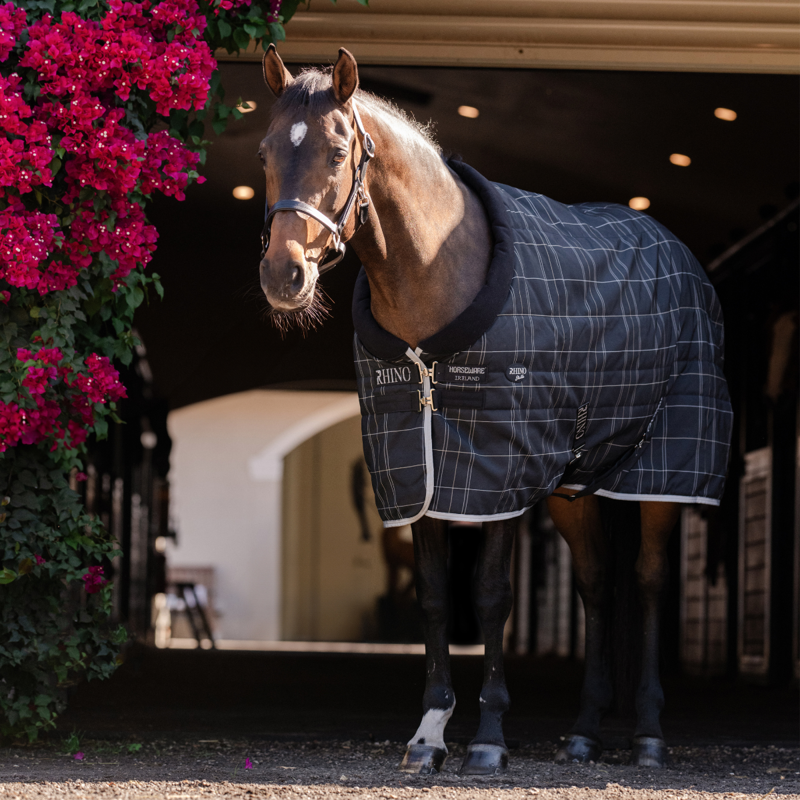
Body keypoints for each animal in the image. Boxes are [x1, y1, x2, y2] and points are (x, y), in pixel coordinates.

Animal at [256, 45, 732, 775]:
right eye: (266, 151)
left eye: (337, 152)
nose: (285, 276)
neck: (437, 278)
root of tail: (677, 250)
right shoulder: (419, 473)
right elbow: (432, 596)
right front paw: (428, 734)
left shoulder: (499, 474)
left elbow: (489, 597)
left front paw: (488, 738)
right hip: (573, 485)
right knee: (597, 585)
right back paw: (584, 733)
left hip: (662, 474)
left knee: (649, 582)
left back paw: (649, 735)